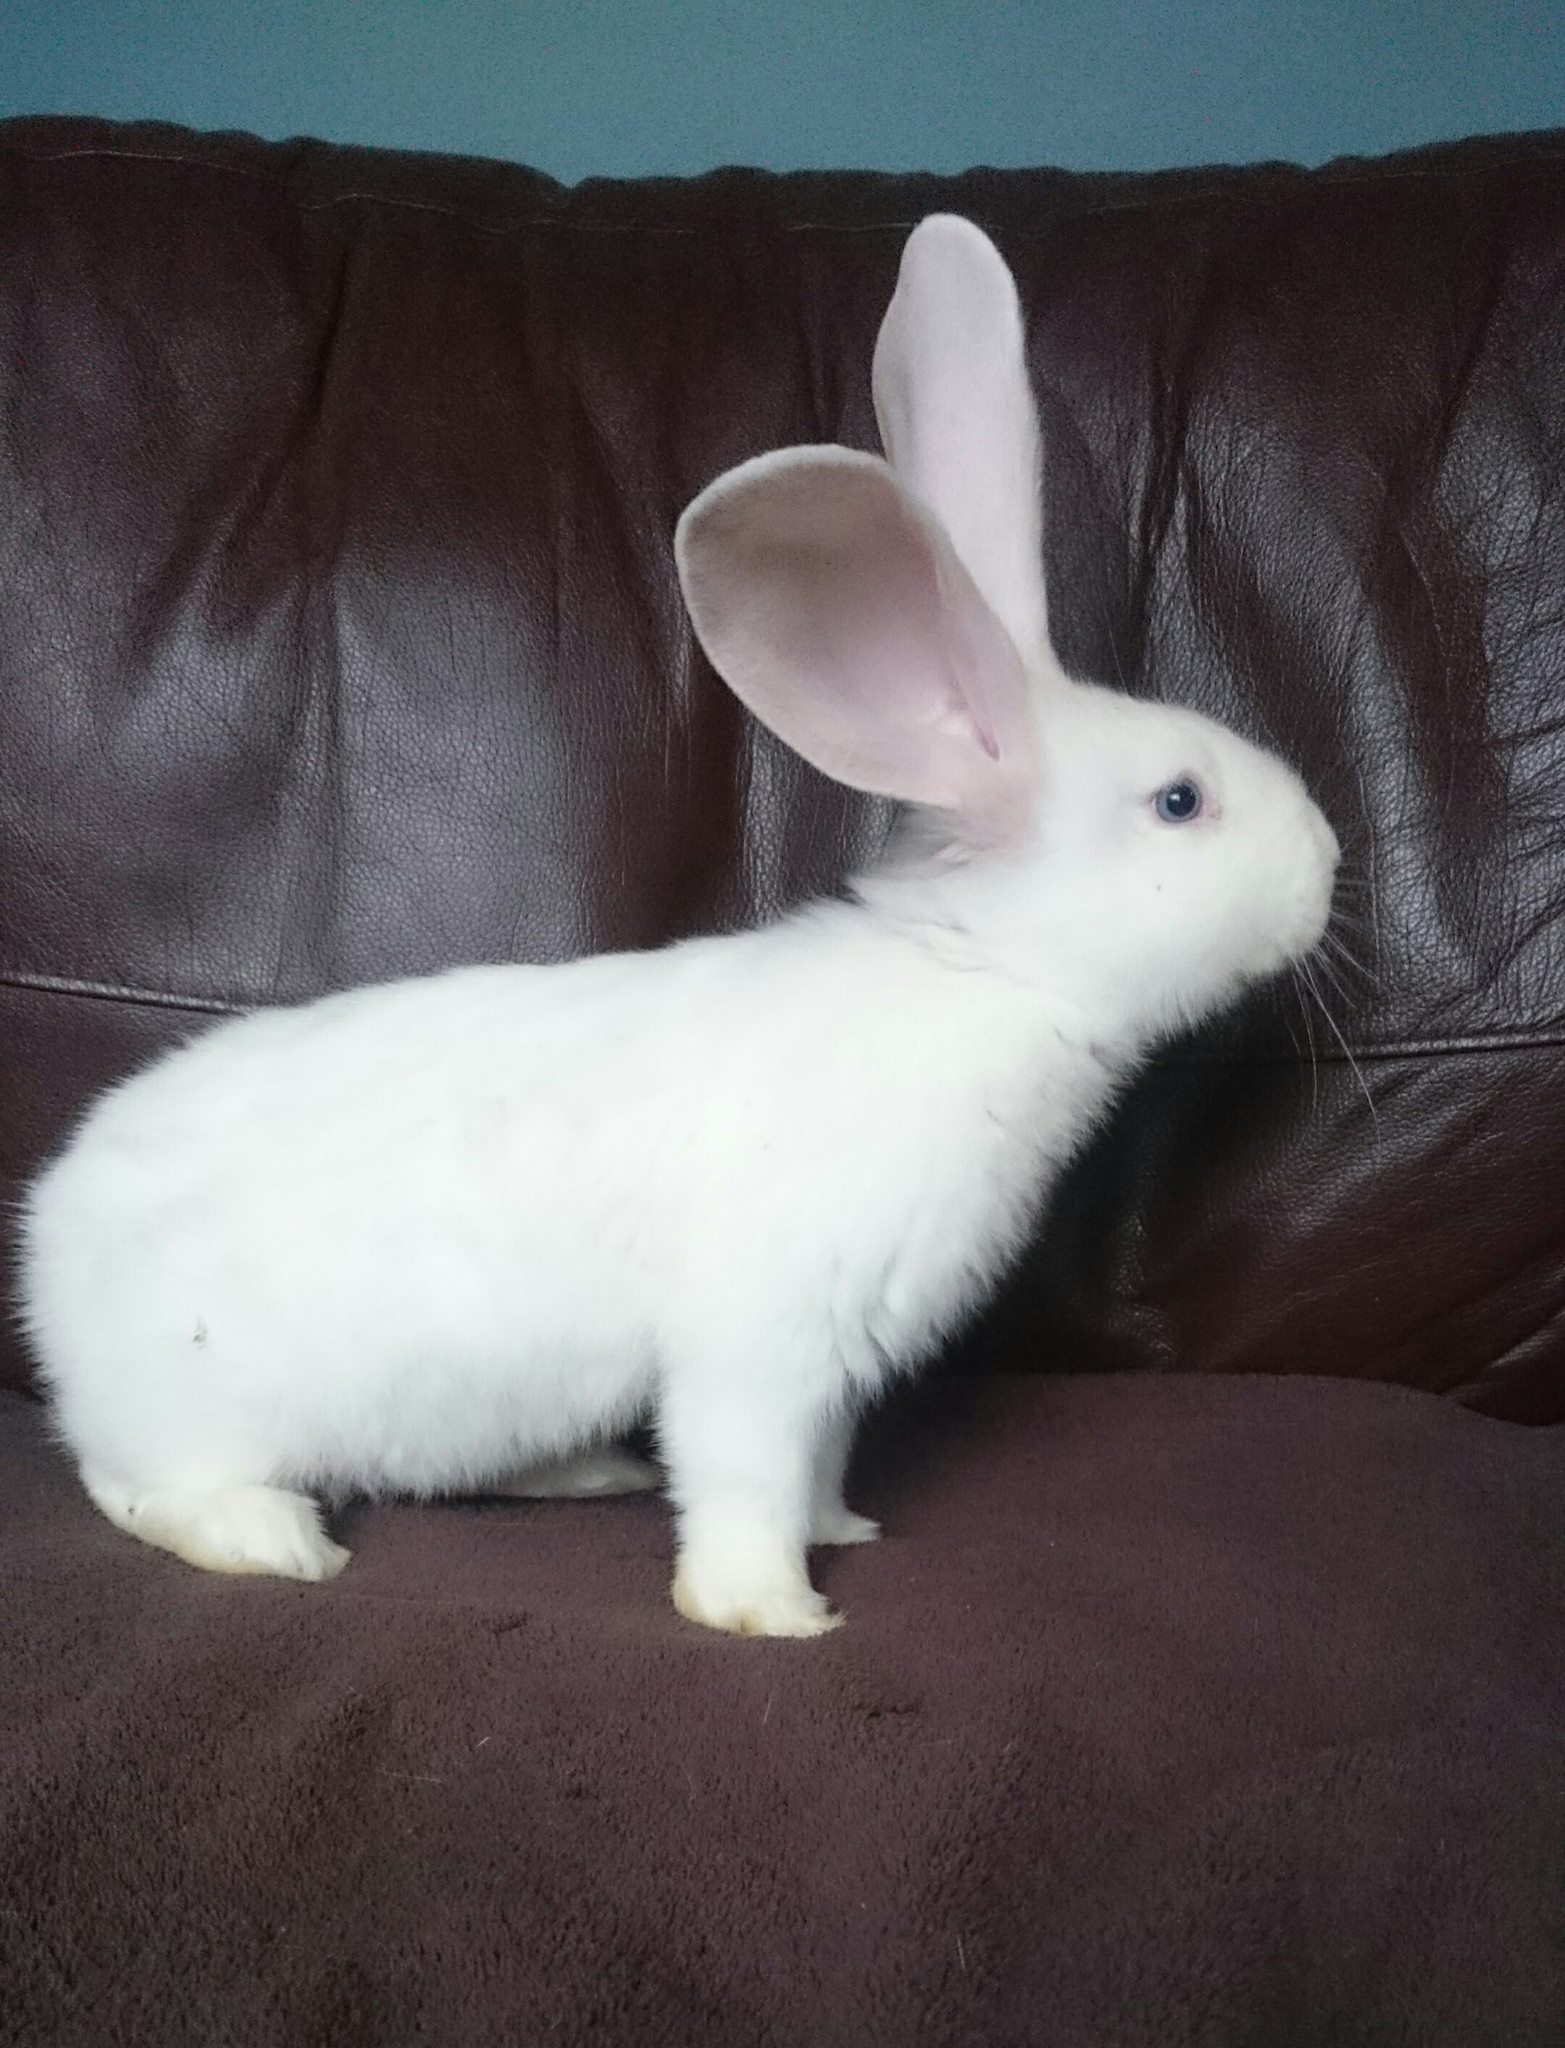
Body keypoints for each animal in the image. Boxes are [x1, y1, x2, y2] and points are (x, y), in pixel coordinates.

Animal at [17, 215, 1339, 1639]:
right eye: (1178, 800)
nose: (1330, 863)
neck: (975, 969)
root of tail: (46, 1252)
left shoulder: (837, 1365)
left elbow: (818, 1463)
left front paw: (842, 1531)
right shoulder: (758, 1342)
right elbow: (741, 1474)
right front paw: (774, 1611)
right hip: (204, 1409)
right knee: (144, 1488)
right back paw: (280, 1545)